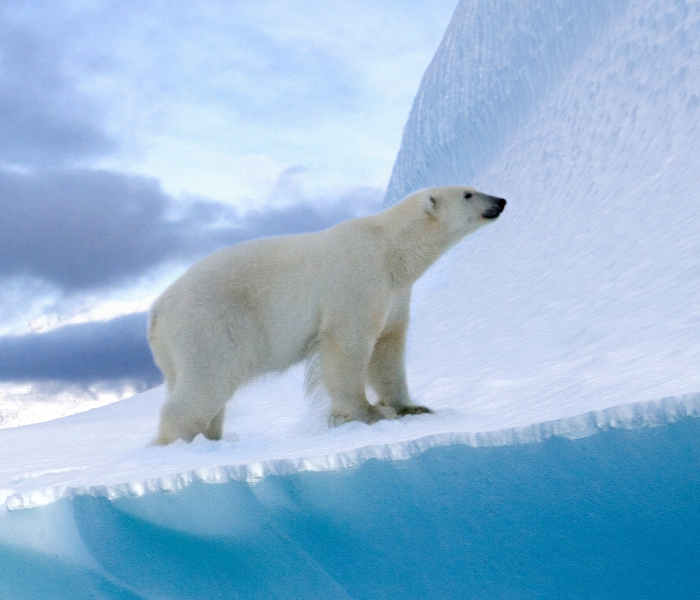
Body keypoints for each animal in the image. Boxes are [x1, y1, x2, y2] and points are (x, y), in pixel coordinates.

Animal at [148, 186, 506, 444]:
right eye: (468, 193)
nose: (501, 201)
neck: (391, 248)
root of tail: (157, 312)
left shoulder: (394, 293)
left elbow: (388, 346)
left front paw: (412, 407)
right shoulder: (358, 278)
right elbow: (348, 343)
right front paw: (368, 414)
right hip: (210, 325)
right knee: (208, 381)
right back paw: (183, 441)